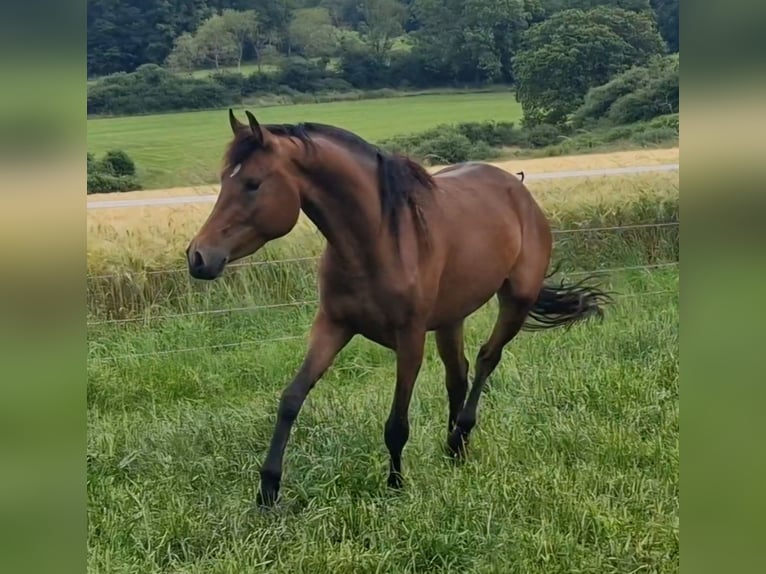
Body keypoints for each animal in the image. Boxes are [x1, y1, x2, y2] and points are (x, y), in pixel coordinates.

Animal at [186, 109, 612, 508]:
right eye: (225, 180)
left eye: (252, 183)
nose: (198, 257)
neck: (377, 240)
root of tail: (519, 190)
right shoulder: (332, 325)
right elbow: (291, 399)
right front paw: (268, 491)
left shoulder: (409, 339)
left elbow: (397, 423)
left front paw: (395, 485)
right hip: (451, 318)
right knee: (458, 374)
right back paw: (455, 449)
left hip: (516, 301)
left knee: (487, 359)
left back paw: (460, 436)